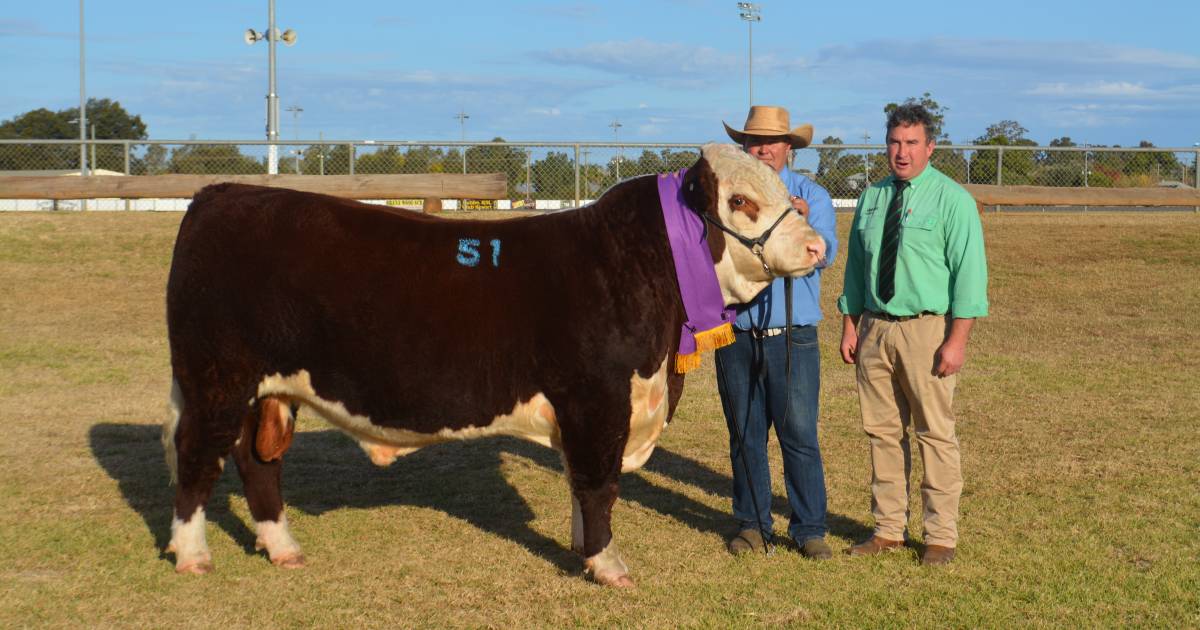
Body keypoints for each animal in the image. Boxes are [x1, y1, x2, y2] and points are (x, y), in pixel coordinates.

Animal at [162, 141, 825, 585]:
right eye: (739, 200)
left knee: (257, 464)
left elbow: (581, 481)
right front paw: (607, 563)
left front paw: (582, 549)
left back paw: (283, 548)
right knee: (198, 459)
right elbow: (598, 482)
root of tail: (221, 193)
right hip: (216, 381)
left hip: (266, 391)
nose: (818, 246)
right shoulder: (596, 397)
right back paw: (193, 556)